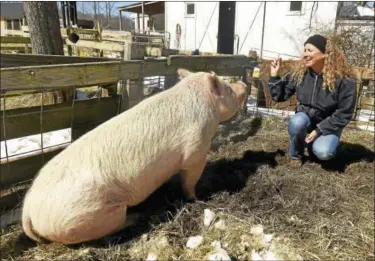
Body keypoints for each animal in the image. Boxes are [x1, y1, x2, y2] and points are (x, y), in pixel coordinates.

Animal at [22, 67, 248, 244]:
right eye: (228, 89)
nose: (244, 84)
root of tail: (28, 209)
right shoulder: (196, 149)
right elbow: (190, 180)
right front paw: (198, 199)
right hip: (88, 214)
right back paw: (136, 217)